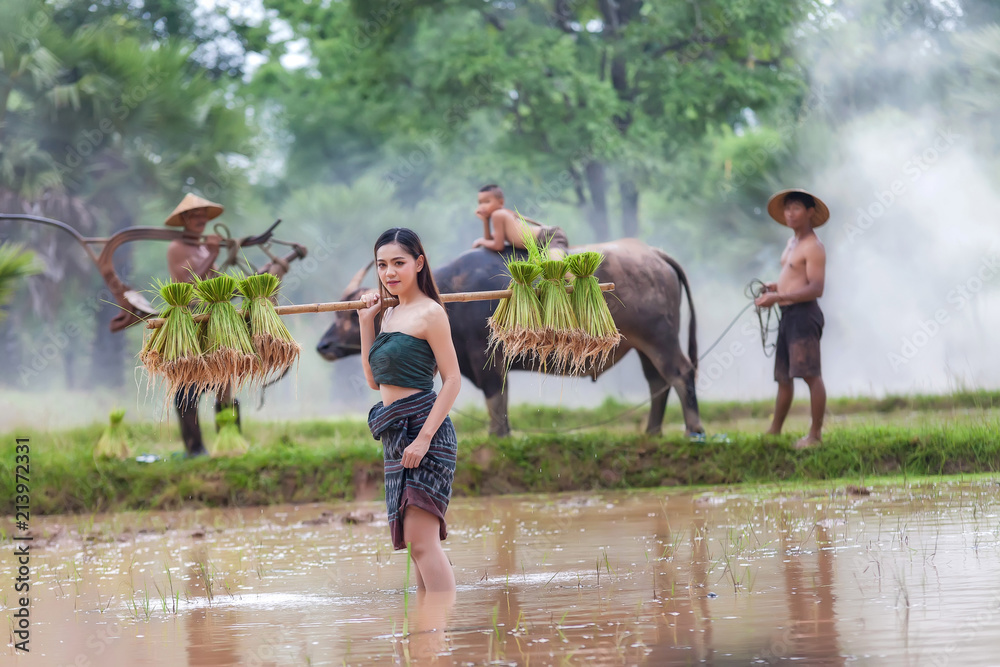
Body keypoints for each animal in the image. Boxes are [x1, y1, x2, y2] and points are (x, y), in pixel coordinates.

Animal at [318, 240, 704, 438]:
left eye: (346, 317)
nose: (323, 345)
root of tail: (655, 254)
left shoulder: (486, 359)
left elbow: (496, 399)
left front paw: (498, 435)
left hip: (660, 339)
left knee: (680, 374)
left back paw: (694, 430)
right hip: (642, 345)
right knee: (657, 381)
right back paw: (651, 432)